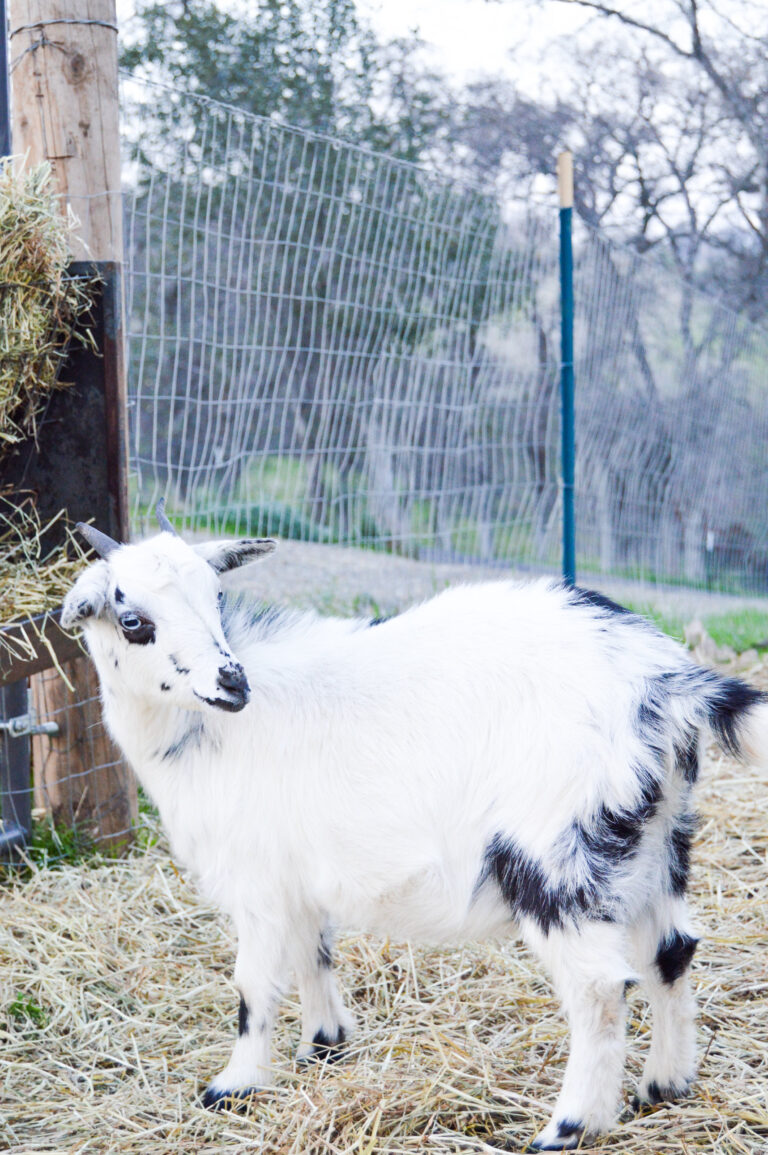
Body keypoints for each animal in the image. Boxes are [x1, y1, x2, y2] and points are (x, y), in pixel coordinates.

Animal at [61, 511, 768, 1150]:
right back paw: (664, 1087)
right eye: (133, 620)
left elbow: (254, 984)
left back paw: (569, 1127)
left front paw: (232, 1088)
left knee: (599, 988)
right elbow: (314, 952)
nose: (232, 683)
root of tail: (665, 680)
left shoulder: (257, 880)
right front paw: (324, 1046)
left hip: (557, 857)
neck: (208, 734)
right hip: (660, 837)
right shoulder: (298, 877)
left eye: (214, 598)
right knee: (672, 951)